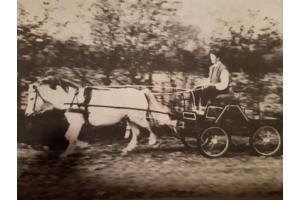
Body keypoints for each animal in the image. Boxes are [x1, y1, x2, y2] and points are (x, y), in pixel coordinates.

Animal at [25, 78, 178, 158]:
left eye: (32, 98)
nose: (27, 114)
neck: (71, 100)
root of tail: (141, 92)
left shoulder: (77, 122)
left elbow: (69, 136)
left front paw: (67, 152)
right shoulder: (76, 124)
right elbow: (69, 136)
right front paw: (82, 145)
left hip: (137, 116)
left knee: (148, 127)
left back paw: (153, 142)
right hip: (130, 118)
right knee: (136, 133)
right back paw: (127, 150)